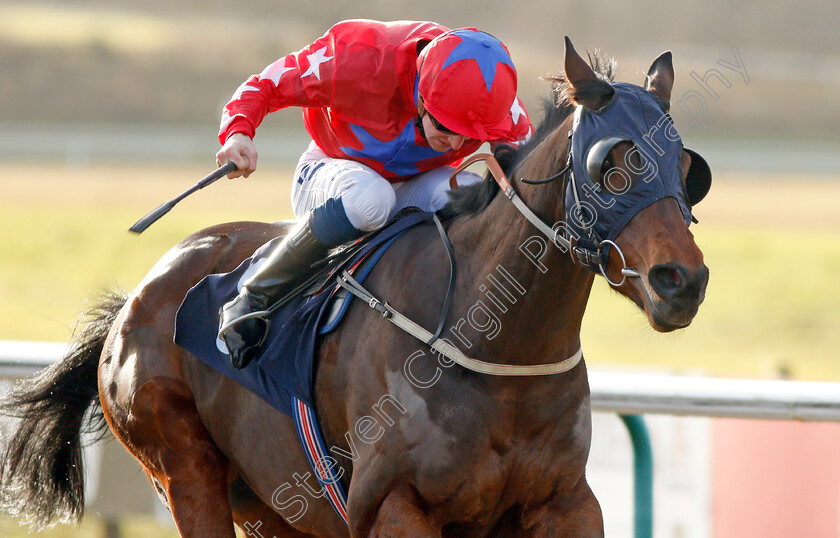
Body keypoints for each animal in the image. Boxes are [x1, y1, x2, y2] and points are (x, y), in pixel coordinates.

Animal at [0, 39, 708, 532]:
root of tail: (134, 301)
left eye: (685, 167)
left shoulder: (565, 505)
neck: (494, 348)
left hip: (272, 506)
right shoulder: (395, 505)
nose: (682, 280)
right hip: (184, 470)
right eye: (612, 163)